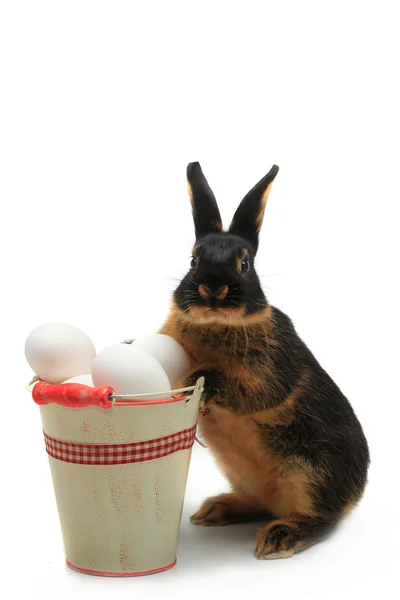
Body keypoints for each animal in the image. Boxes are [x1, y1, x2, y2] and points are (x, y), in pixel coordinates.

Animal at [158, 162, 370, 560]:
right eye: (193, 260)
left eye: (244, 264)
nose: (213, 288)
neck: (217, 324)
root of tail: (355, 495)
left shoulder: (267, 375)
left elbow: (246, 391)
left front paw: (197, 381)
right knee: (258, 504)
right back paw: (215, 510)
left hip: (311, 474)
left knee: (320, 518)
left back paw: (279, 538)